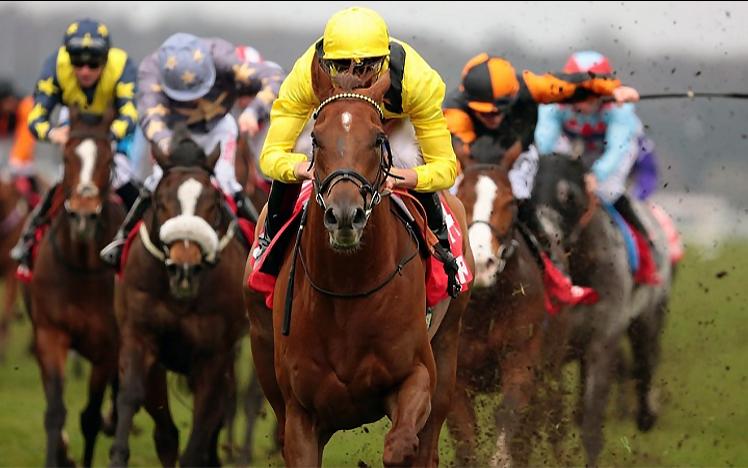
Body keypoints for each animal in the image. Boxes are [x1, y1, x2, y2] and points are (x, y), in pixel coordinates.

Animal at [25, 108, 124, 467]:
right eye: (67, 157)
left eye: (108, 158)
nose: (83, 215)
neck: (82, 267)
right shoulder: (50, 333)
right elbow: (55, 410)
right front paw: (58, 455)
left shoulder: (109, 347)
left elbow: (90, 417)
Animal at [110, 131, 250, 467]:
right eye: (160, 202)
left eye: (213, 204)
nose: (185, 267)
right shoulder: (139, 336)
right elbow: (130, 395)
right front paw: (118, 455)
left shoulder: (214, 356)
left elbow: (205, 421)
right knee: (166, 432)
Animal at [244, 63, 474, 466]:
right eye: (316, 139)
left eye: (378, 139)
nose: (345, 215)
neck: (346, 291)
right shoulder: (300, 414)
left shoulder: (417, 376)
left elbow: (400, 447)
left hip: (448, 346)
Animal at [447, 162, 569, 466]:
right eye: (461, 199)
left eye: (510, 203)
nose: (482, 264)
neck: (483, 308)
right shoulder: (455, 377)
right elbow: (465, 435)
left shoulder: (522, 358)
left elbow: (510, 414)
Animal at [529, 153, 673, 465]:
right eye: (525, 193)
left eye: (569, 196)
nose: (546, 238)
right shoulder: (549, 349)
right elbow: (553, 421)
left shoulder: (602, 340)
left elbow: (592, 423)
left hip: (650, 313)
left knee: (645, 359)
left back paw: (647, 413)